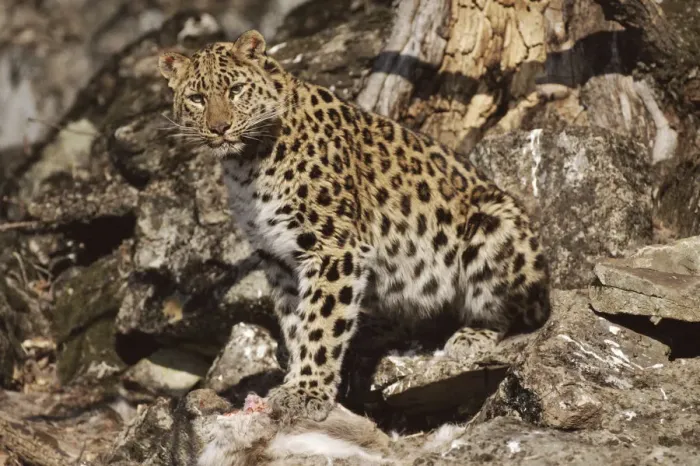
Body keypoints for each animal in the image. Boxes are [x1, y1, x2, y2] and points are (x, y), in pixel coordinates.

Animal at [158, 30, 551, 425]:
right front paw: (296, 378)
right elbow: (296, 322)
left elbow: (320, 323)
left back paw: (469, 337)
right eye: (197, 98)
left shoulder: (333, 247)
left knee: (514, 312)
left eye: (237, 89)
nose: (219, 128)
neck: (245, 165)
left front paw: (306, 392)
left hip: (492, 224)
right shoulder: (278, 258)